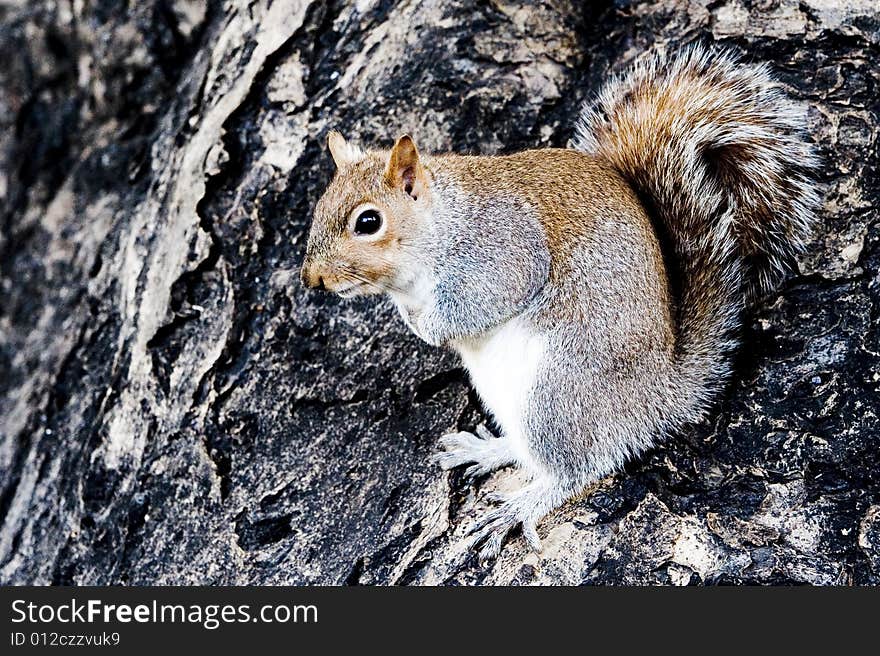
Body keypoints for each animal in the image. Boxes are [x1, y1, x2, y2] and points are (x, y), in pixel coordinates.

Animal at [300, 46, 820, 560]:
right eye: (320, 205)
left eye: (369, 222)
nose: (313, 278)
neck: (442, 222)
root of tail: (661, 394)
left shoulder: (503, 252)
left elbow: (478, 303)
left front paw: (422, 324)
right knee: (531, 449)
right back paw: (490, 450)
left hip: (558, 391)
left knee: (579, 466)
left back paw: (520, 506)